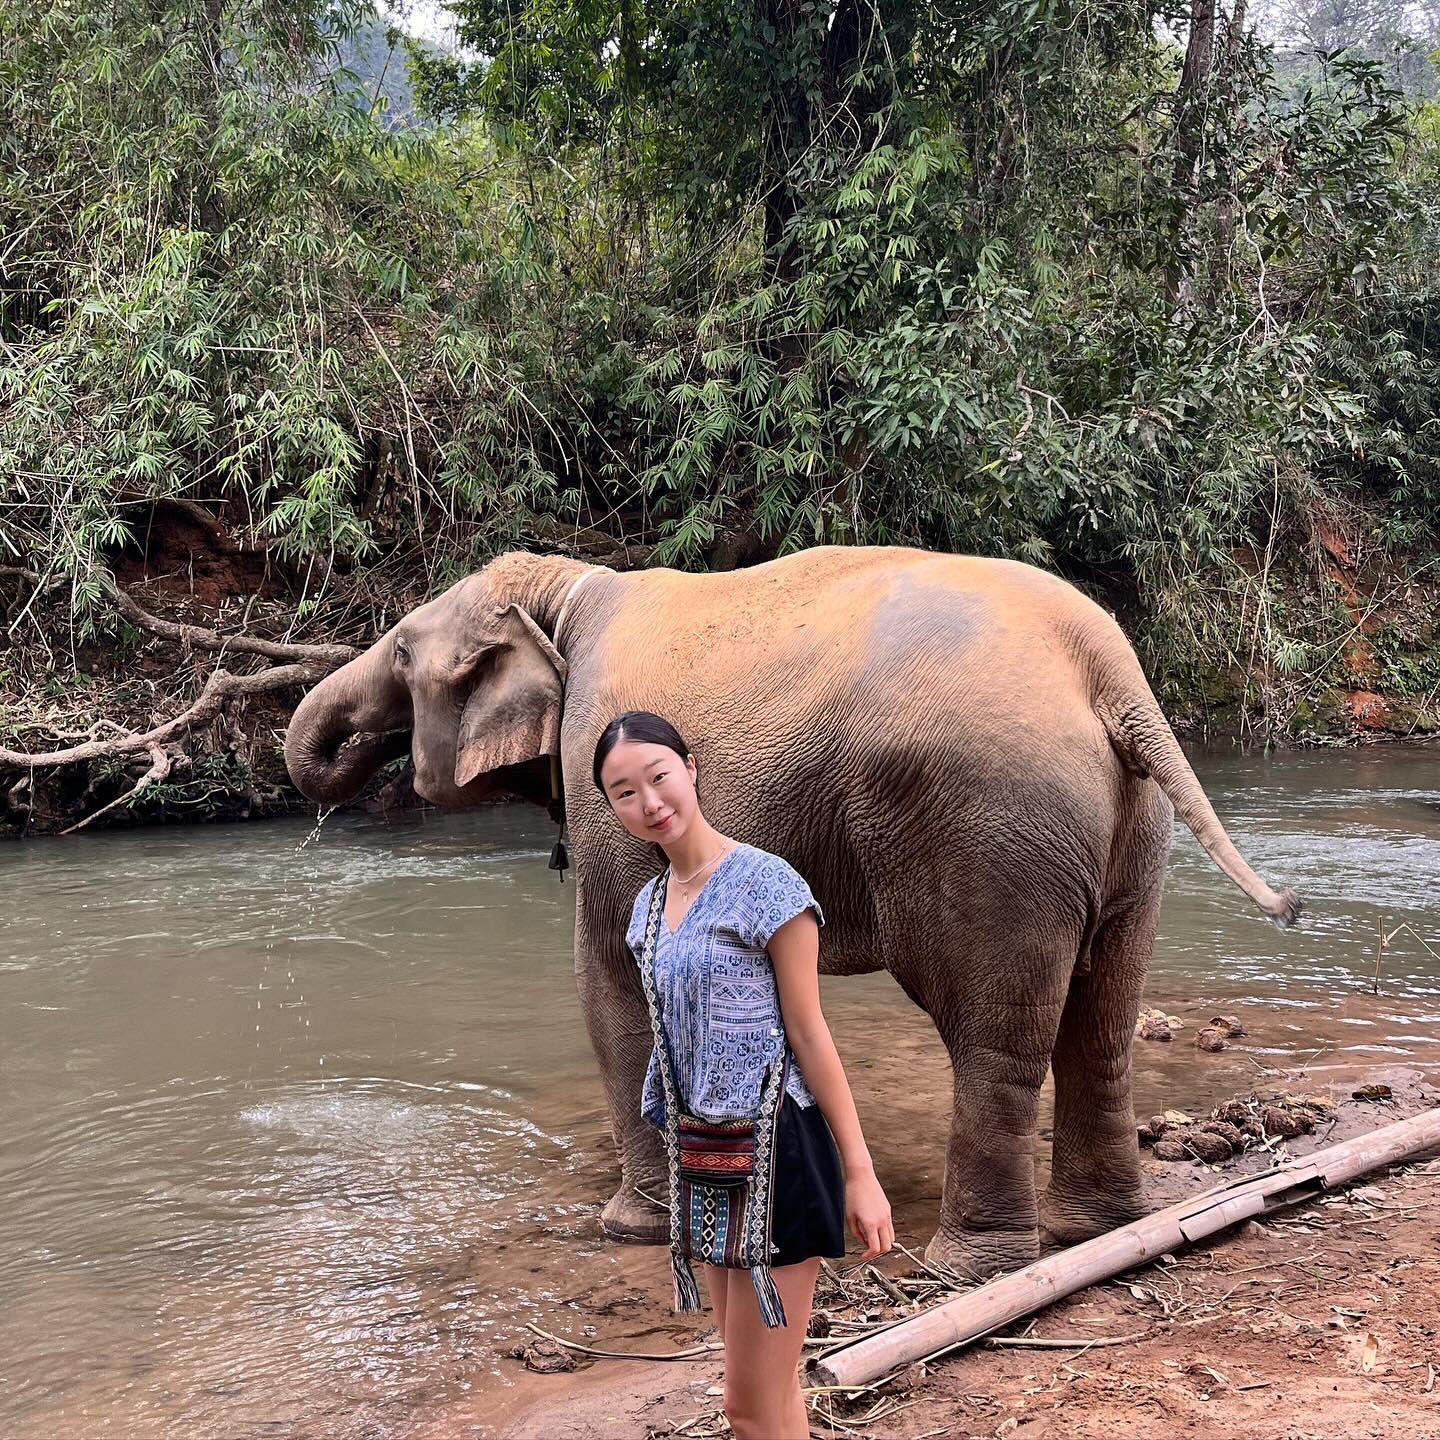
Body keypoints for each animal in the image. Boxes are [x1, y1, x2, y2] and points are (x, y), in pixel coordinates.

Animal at [283, 545, 1299, 1278]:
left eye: (403, 652)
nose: (345, 765)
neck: (566, 590)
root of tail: (1107, 670)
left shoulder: (601, 776)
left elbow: (611, 971)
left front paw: (631, 1230)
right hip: (1129, 827)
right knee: (1103, 1020)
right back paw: (1097, 1231)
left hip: (987, 826)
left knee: (995, 1035)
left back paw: (964, 1270)